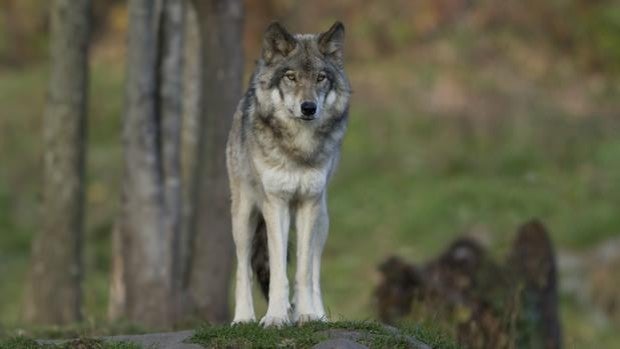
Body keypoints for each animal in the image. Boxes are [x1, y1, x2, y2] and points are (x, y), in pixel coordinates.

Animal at [226, 21, 352, 326]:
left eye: (320, 78)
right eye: (291, 77)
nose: (309, 107)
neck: (299, 148)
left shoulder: (308, 204)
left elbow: (304, 272)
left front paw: (306, 314)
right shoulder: (276, 204)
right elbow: (277, 273)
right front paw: (274, 317)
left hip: (322, 219)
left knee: (314, 270)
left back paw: (318, 314)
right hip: (244, 217)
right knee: (243, 268)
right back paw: (244, 317)